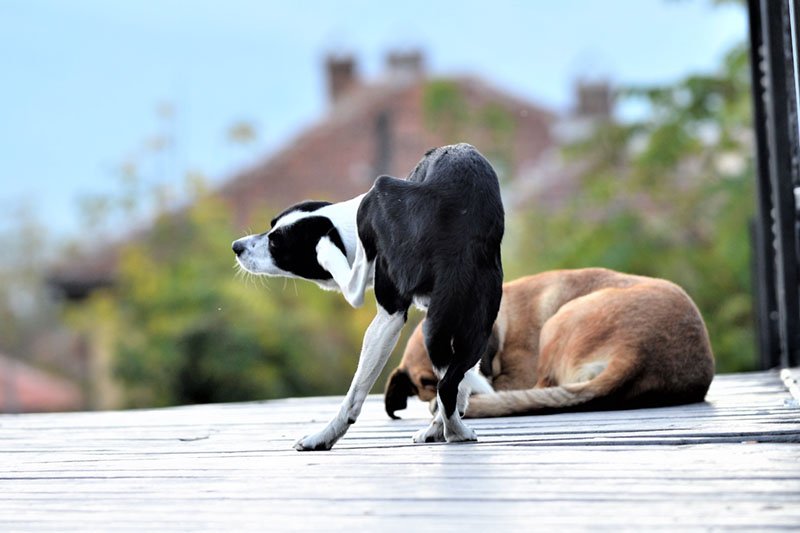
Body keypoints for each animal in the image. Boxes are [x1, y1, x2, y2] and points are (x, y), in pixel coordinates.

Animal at [231, 144, 504, 448]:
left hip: (381, 190)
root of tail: (458, 239)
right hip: (472, 326)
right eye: (270, 226)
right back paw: (456, 431)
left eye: (276, 243)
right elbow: (459, 386)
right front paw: (440, 426)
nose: (236, 247)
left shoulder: (389, 316)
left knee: (354, 292)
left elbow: (354, 395)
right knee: (449, 383)